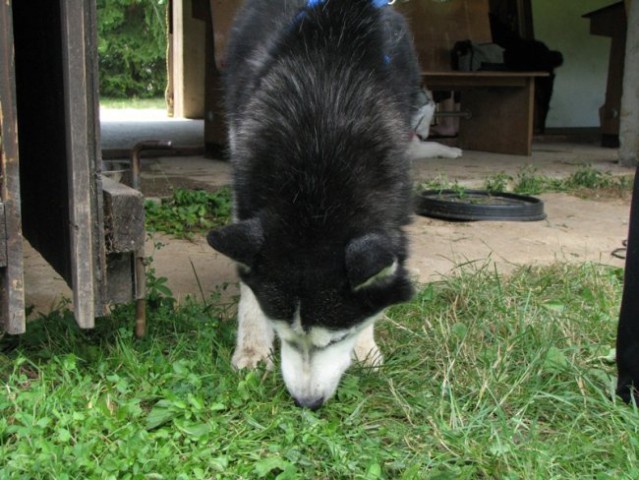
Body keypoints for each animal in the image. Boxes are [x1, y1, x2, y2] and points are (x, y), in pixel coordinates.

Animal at [208, 0, 422, 408]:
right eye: (283, 334)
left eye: (338, 338)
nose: (307, 403)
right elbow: (250, 290)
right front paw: (252, 349)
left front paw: (365, 348)